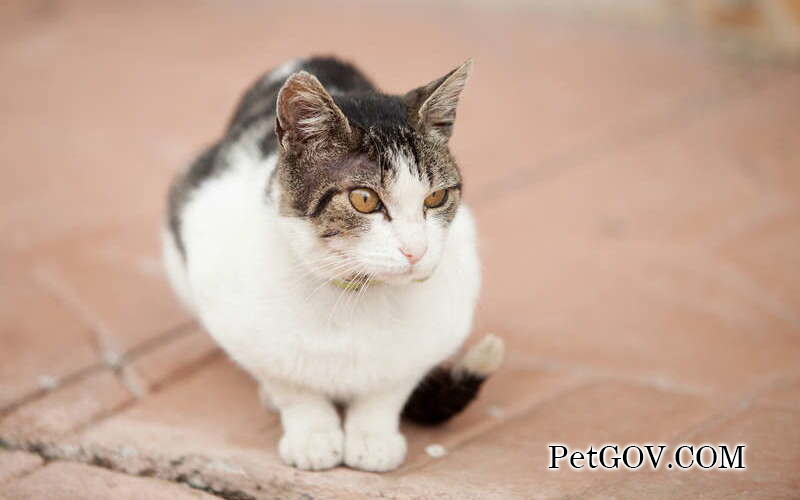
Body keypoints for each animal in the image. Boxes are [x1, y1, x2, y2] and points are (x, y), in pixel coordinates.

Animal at [162, 56, 504, 470]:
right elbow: (290, 384)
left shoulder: (441, 325)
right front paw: (312, 434)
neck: (355, 294)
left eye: (436, 198)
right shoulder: (228, 304)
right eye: (364, 199)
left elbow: (391, 386)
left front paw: (372, 436)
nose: (416, 251)